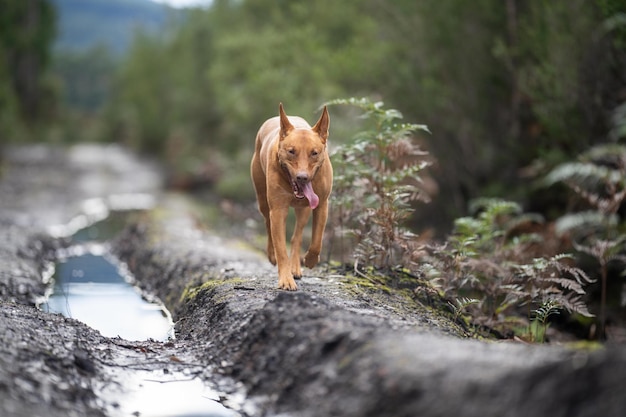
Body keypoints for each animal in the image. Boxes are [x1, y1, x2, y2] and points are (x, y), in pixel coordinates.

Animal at [251, 103, 332, 290]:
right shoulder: (278, 210)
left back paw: (295, 266)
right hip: (263, 201)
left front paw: (310, 260)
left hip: (304, 210)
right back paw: (273, 255)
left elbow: (317, 241)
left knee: (297, 235)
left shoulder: (322, 204)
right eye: (291, 152)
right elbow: (281, 247)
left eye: (314, 153)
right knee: (268, 225)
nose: (302, 177)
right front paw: (286, 279)